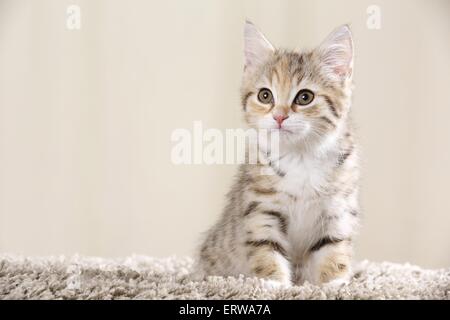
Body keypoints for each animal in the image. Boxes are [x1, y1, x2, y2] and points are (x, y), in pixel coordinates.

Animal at [195, 21, 360, 286]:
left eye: (304, 97)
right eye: (265, 95)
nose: (279, 116)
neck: (301, 157)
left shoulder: (337, 211)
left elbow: (334, 251)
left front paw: (333, 284)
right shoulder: (262, 209)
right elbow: (266, 249)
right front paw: (273, 284)